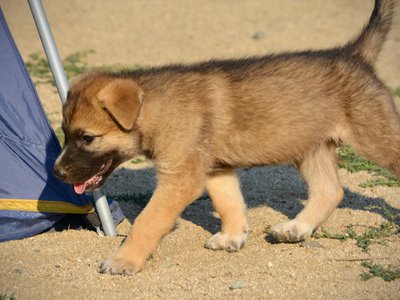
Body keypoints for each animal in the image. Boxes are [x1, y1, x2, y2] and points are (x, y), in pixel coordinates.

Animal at [52, 0, 396, 276]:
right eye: (65, 133)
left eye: (87, 138)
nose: (56, 172)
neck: (156, 108)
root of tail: (353, 56)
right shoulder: (215, 170)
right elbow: (229, 202)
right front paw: (233, 236)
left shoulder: (179, 180)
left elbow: (146, 222)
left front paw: (123, 261)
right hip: (310, 148)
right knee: (330, 191)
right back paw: (295, 228)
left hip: (375, 139)